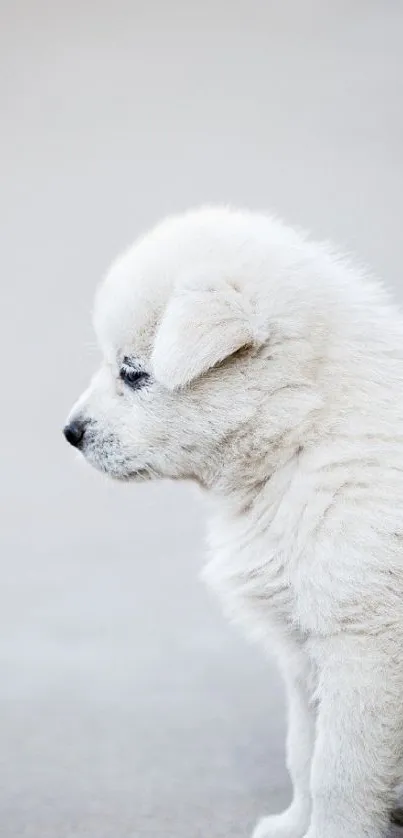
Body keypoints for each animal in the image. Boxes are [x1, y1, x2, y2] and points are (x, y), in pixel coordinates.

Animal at [64, 208, 403, 838]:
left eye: (134, 372)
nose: (70, 433)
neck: (302, 433)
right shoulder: (301, 647)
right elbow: (303, 751)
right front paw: (294, 825)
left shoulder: (365, 645)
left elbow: (339, 769)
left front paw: (331, 830)